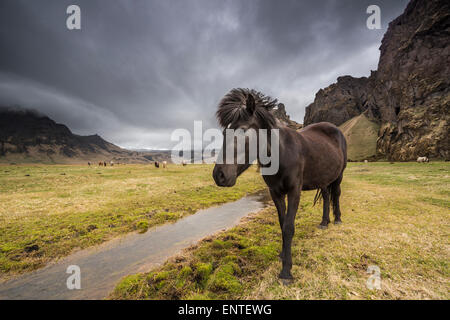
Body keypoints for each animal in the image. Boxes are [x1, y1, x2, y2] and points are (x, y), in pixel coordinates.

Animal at [212, 88, 348, 280]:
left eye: (243, 131)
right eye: (224, 133)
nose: (219, 175)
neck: (282, 154)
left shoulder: (294, 191)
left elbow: (289, 227)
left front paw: (286, 271)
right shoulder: (275, 192)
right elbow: (282, 223)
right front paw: (283, 254)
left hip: (339, 175)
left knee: (336, 194)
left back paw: (337, 220)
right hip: (323, 178)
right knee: (327, 196)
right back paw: (324, 222)